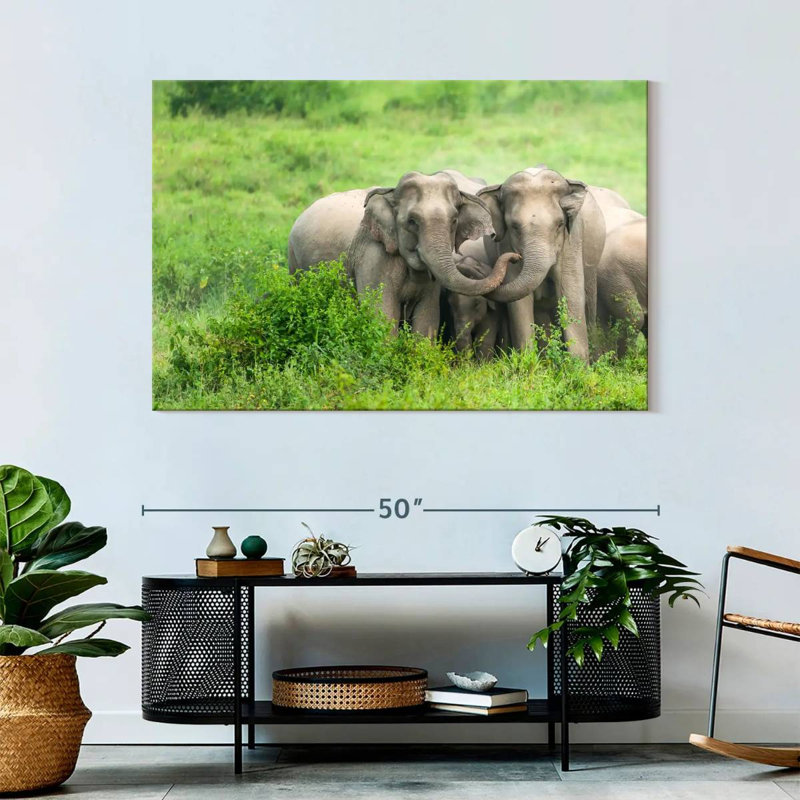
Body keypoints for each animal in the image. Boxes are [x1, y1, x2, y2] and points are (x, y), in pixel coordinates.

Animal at [287, 171, 512, 337]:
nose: (515, 257)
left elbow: (427, 318)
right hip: (293, 260)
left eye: (454, 220)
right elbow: (382, 314)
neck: (391, 194)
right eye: (412, 221)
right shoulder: (373, 258)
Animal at [475, 167, 608, 361]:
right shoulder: (506, 243)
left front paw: (578, 366)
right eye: (514, 227)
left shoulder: (572, 240)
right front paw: (527, 362)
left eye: (560, 224)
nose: (513, 257)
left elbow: (571, 292)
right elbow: (519, 302)